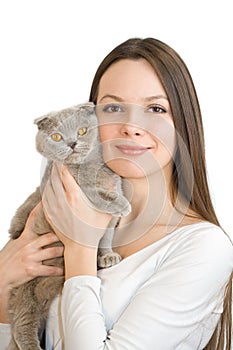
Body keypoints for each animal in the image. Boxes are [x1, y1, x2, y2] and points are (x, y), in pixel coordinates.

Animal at [6, 102, 131, 350]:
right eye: (56, 136)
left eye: (82, 131)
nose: (72, 143)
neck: (90, 167)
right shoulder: (76, 191)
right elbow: (98, 195)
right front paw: (122, 204)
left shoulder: (110, 218)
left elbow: (105, 237)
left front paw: (107, 256)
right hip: (25, 288)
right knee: (21, 324)